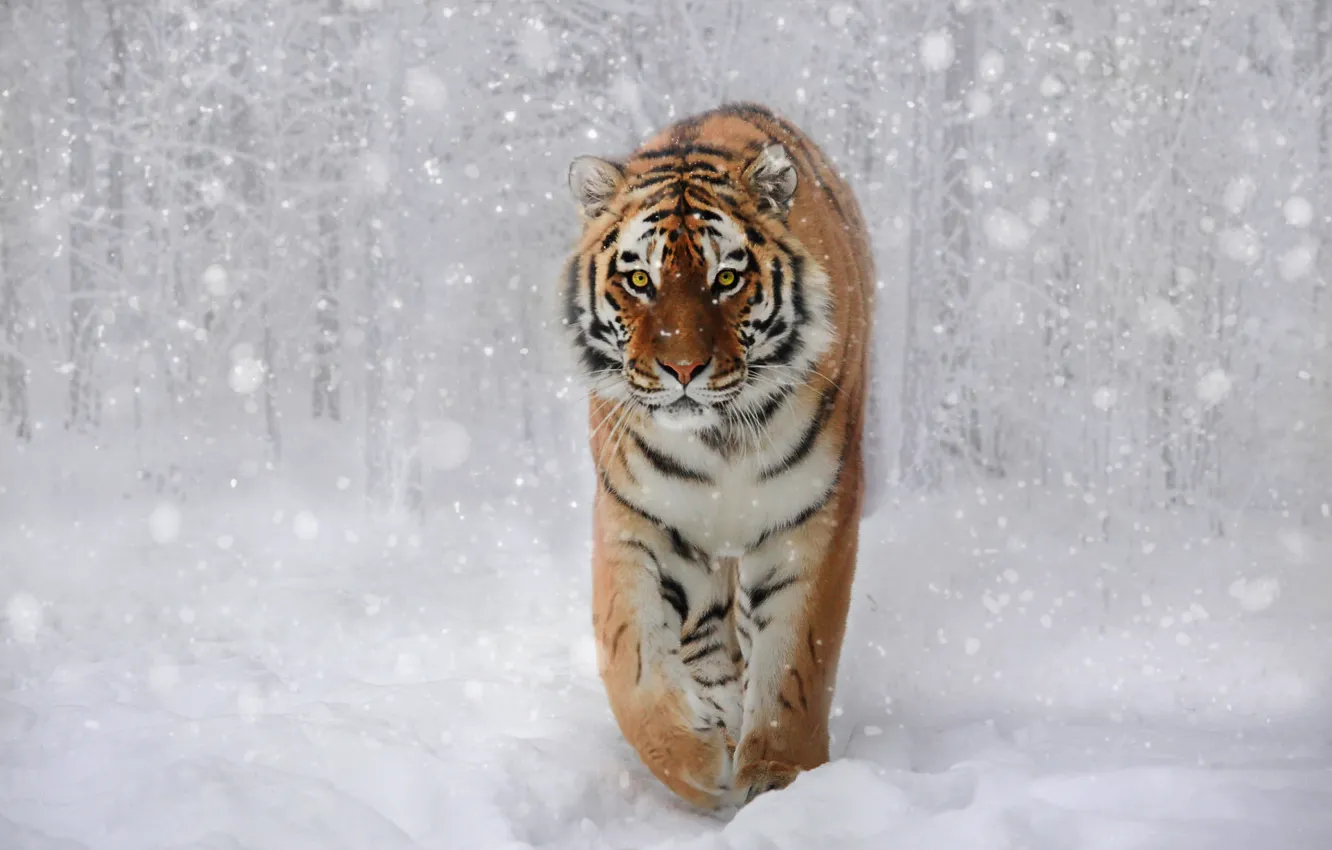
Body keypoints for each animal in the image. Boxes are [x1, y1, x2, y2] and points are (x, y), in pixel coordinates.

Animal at [560, 103, 874, 808]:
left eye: (726, 278)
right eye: (640, 280)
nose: (682, 369)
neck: (720, 438)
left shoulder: (811, 517)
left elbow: (795, 660)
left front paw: (780, 775)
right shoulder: (637, 519)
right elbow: (632, 658)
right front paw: (693, 760)